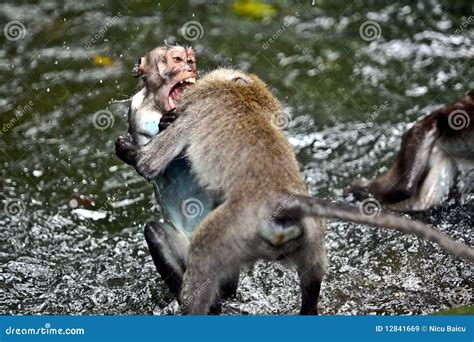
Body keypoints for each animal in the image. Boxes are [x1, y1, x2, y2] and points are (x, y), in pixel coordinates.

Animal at [115, 44, 241, 302]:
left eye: (190, 60)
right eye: (177, 59)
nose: (190, 66)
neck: (156, 108)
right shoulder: (134, 110)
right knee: (154, 234)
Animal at [125, 69, 474, 316]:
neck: (245, 97)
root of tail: (280, 200)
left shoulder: (197, 110)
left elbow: (149, 164)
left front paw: (128, 148)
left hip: (231, 227)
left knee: (200, 254)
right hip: (308, 233)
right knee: (312, 275)